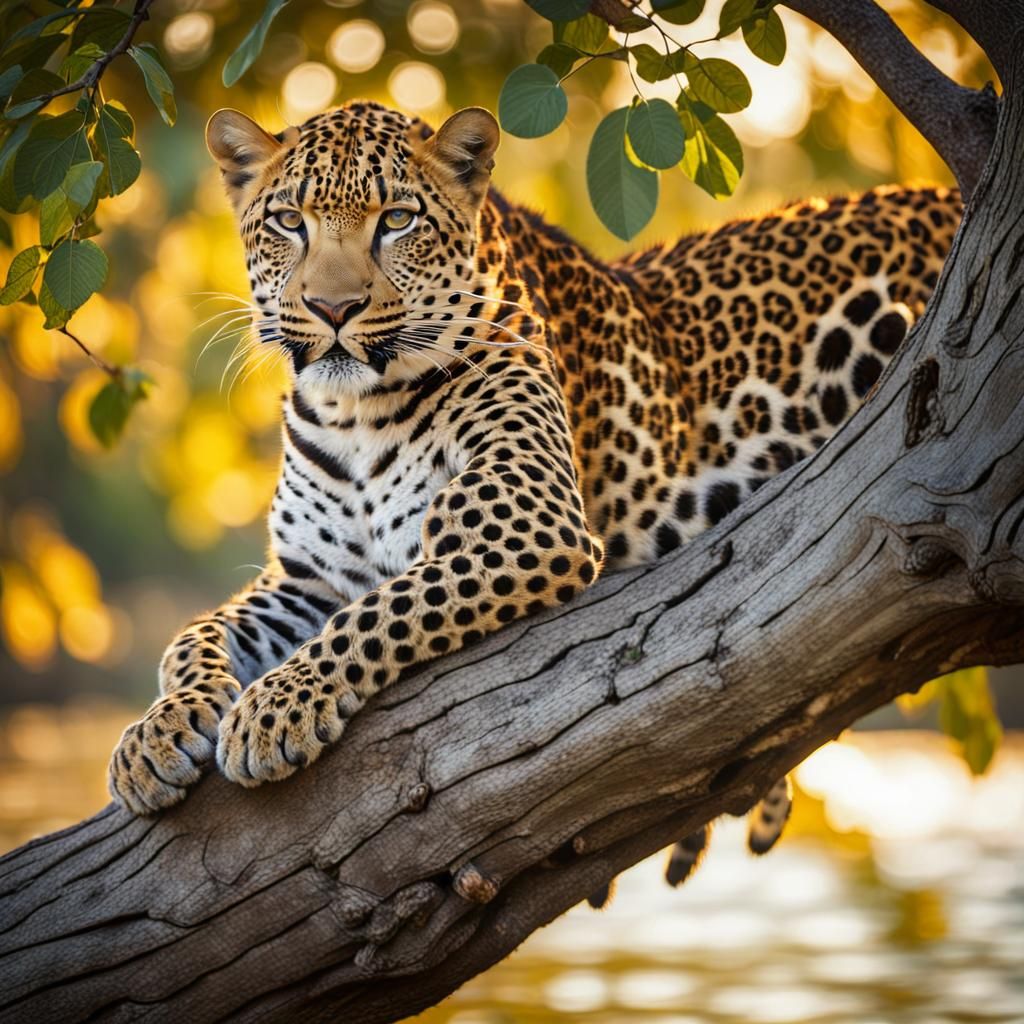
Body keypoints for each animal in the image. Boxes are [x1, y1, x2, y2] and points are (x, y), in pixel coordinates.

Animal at [107, 98, 960, 897]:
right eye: (290, 221)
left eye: (396, 221)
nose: (334, 309)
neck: (352, 415)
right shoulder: (309, 581)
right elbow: (195, 633)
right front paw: (156, 736)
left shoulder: (525, 526)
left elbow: (376, 616)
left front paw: (275, 709)